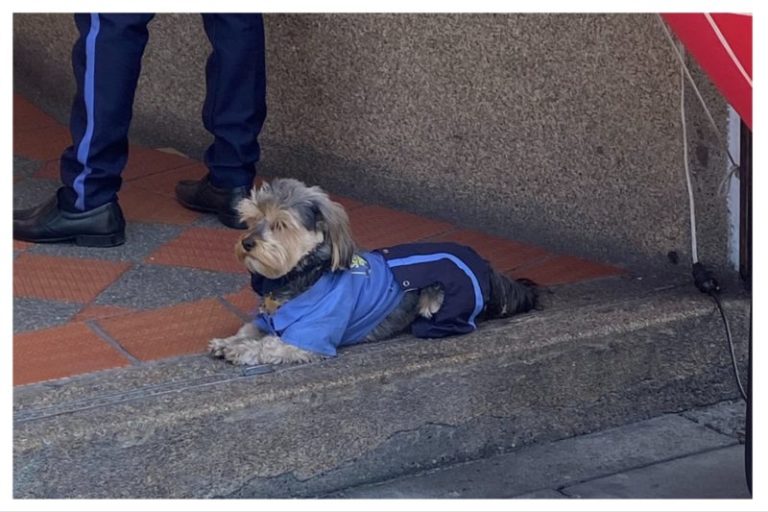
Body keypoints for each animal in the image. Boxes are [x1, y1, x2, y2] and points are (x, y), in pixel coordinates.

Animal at [207, 178, 536, 366]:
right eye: (252, 219)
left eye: (280, 224)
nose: (247, 242)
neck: (305, 276)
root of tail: (487, 266)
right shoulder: (266, 319)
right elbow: (249, 330)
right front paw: (228, 342)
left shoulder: (308, 338)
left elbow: (270, 345)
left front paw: (242, 351)